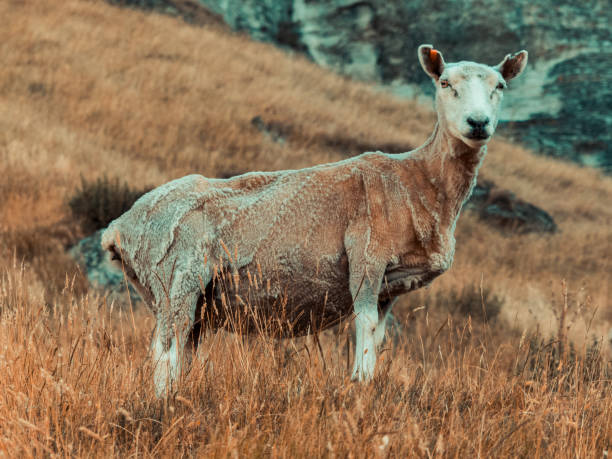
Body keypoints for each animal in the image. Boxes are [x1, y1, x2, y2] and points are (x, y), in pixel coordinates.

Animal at [100, 44, 524, 396]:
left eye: (500, 85)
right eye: (445, 83)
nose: (478, 123)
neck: (418, 179)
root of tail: (119, 226)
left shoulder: (390, 287)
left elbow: (380, 335)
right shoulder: (367, 258)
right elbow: (365, 325)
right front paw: (359, 384)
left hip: (185, 298)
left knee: (180, 350)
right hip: (176, 278)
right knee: (165, 353)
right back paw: (163, 401)